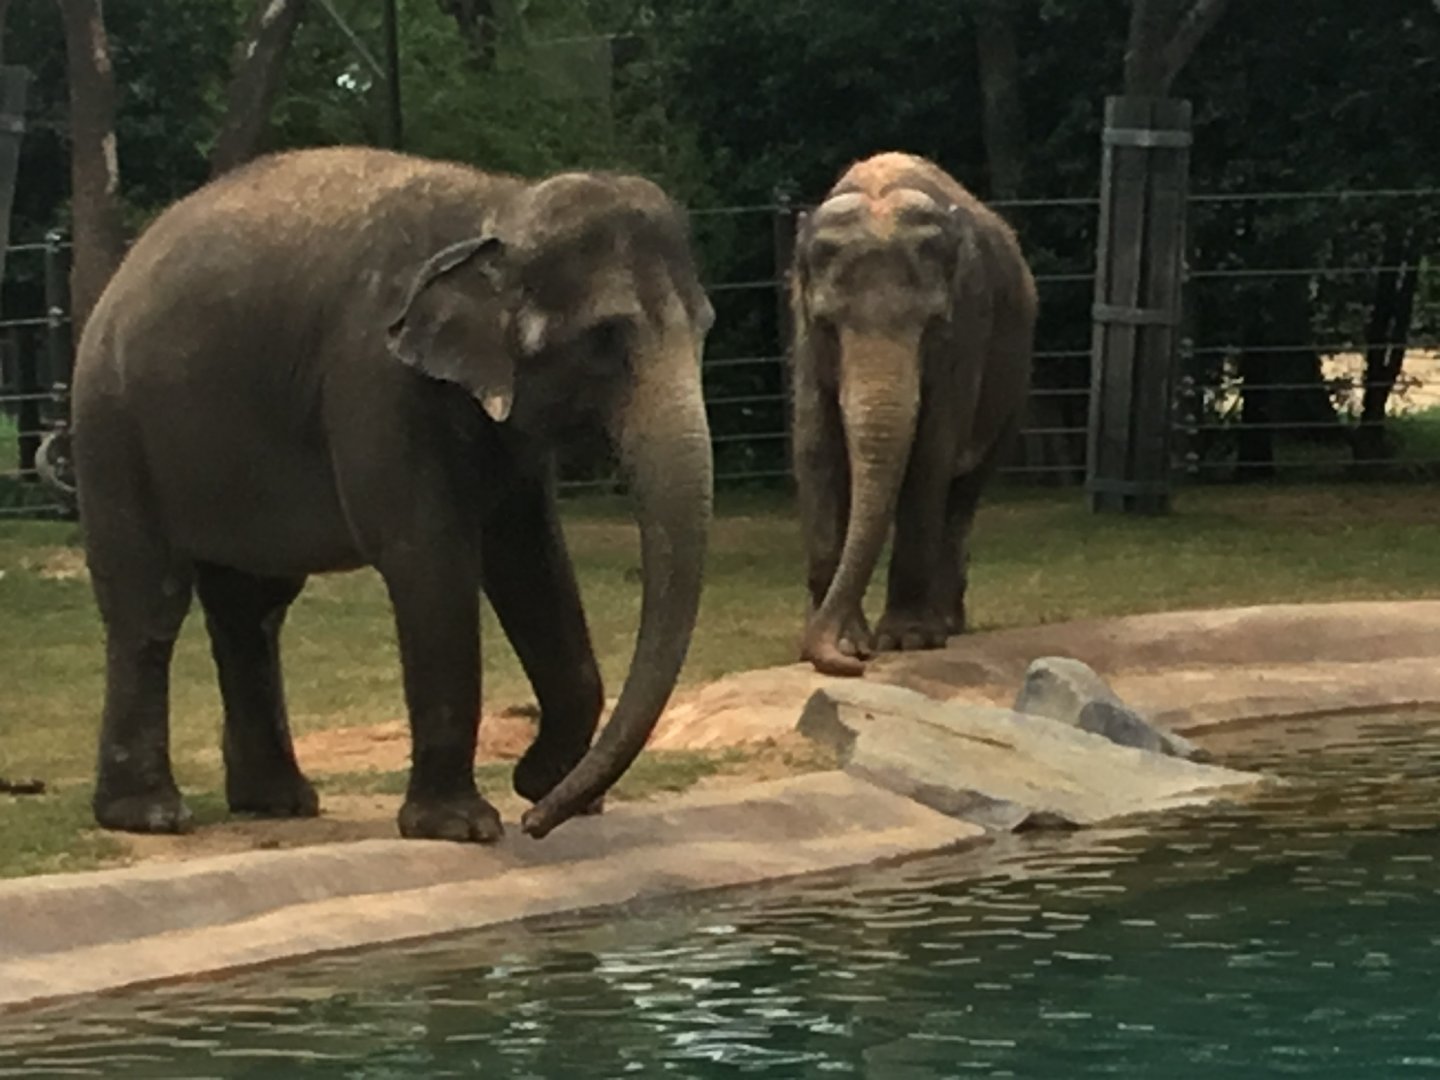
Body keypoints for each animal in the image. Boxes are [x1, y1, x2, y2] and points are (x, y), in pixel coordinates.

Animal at [70, 146, 714, 843]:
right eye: (605, 338)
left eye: (707, 329)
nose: (537, 823)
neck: (502, 206)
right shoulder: (377, 380)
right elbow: (429, 559)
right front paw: (463, 826)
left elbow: (531, 560)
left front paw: (550, 787)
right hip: (113, 431)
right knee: (150, 603)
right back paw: (152, 815)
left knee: (253, 609)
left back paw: (277, 802)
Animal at [789, 151, 1037, 677]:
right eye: (826, 324)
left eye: (934, 326)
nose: (854, 664)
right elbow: (816, 451)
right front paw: (844, 642)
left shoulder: (968, 328)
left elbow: (931, 453)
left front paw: (907, 641)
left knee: (963, 494)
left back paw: (946, 624)